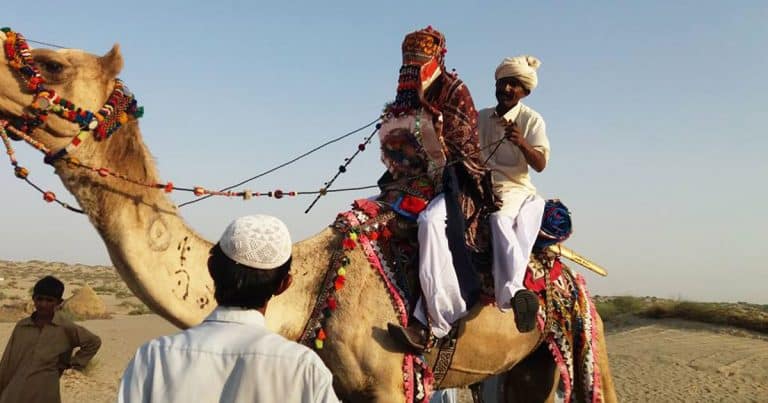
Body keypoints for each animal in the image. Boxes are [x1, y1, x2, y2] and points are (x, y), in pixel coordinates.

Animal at [0, 31, 616, 403]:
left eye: (50, 65)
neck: (316, 286)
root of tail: (572, 275)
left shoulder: (392, 382)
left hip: (584, 334)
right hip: (519, 367)